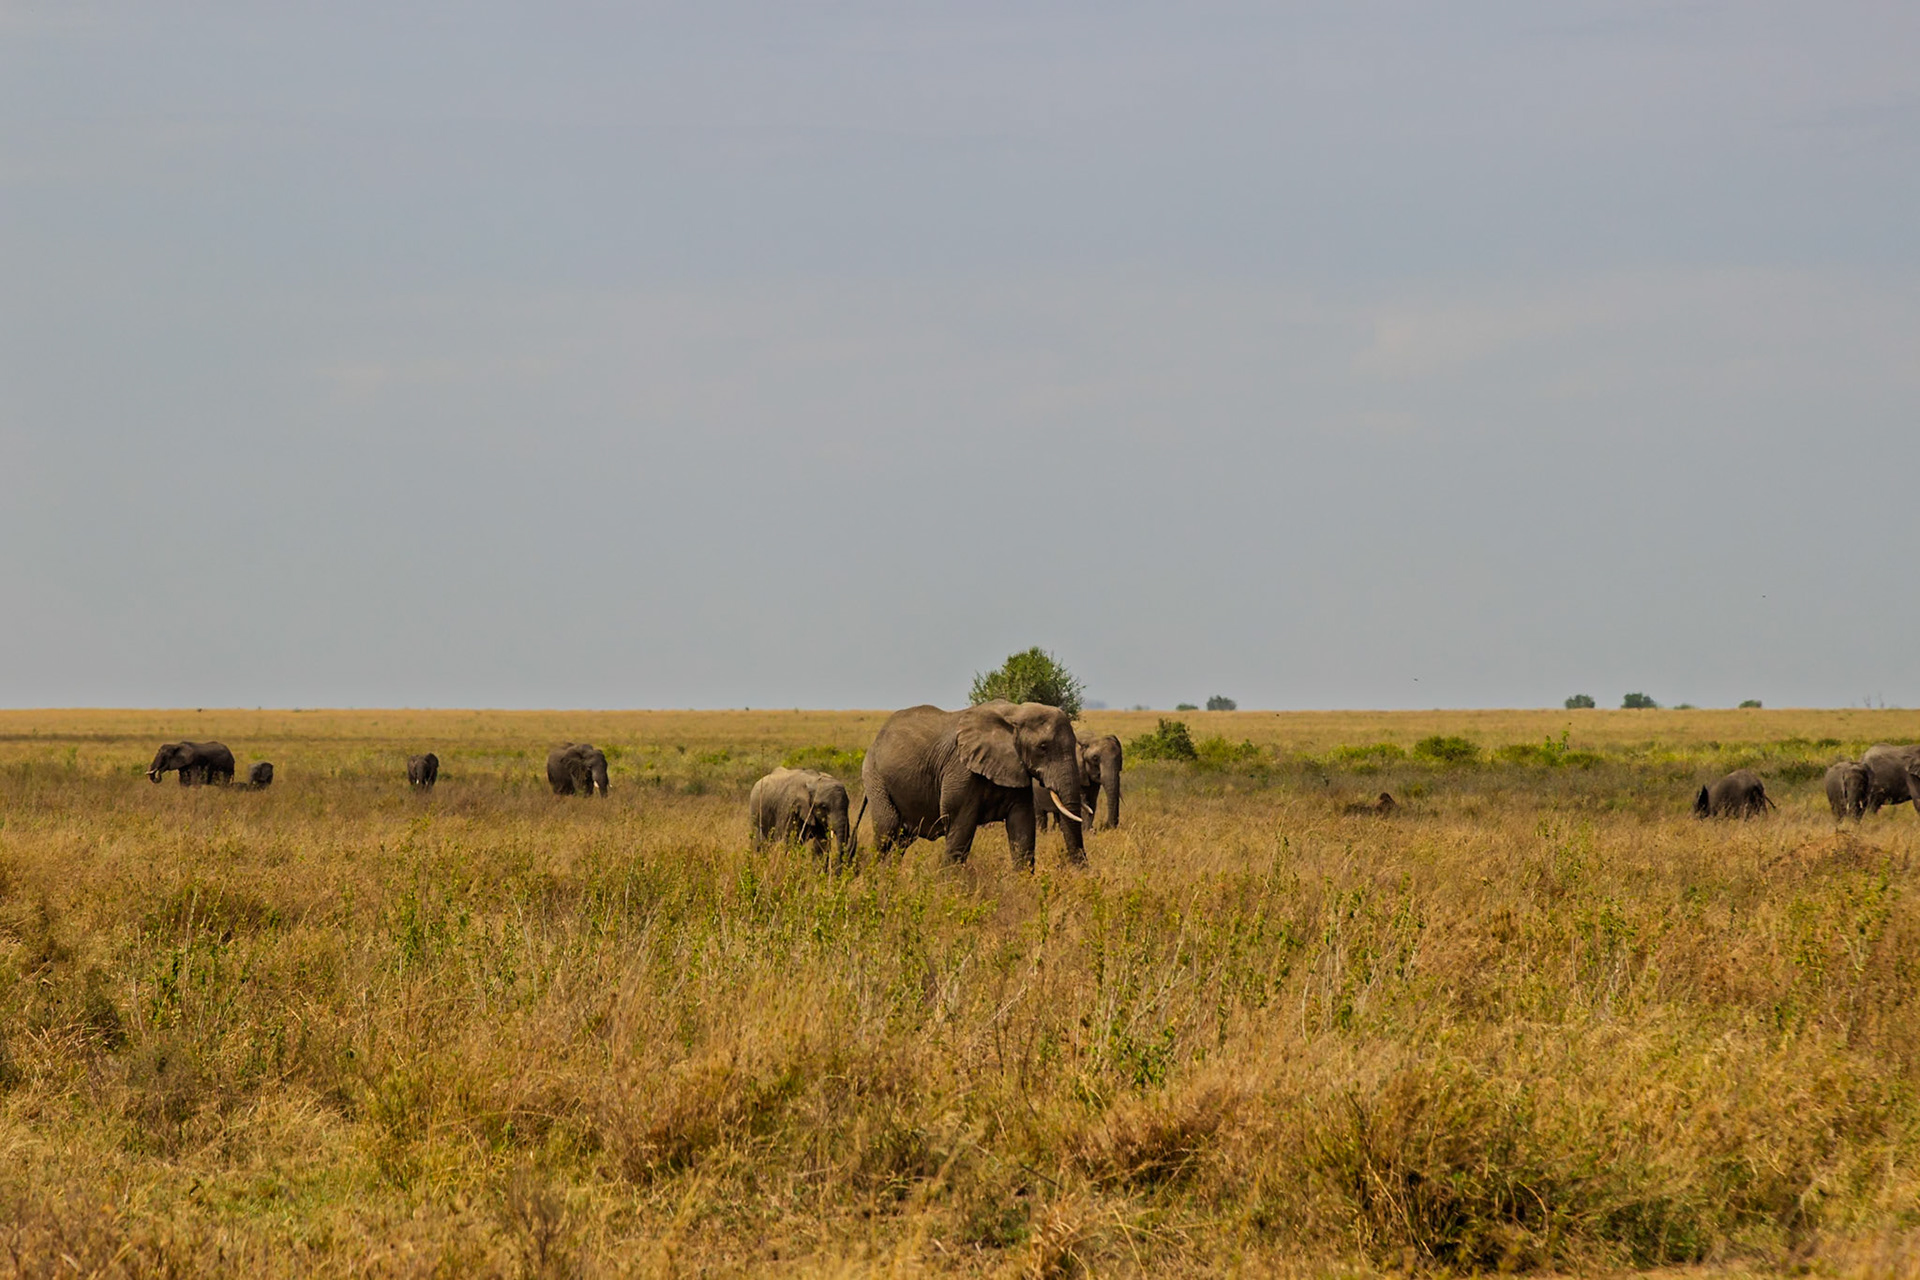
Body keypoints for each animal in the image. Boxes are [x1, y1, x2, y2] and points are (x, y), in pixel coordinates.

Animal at [862, 701, 1086, 869]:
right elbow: (961, 828)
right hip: (874, 777)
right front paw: (950, 888)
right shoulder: (961, 771)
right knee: (886, 831)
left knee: (902, 840)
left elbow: (1022, 827)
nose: (1080, 869)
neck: (1013, 712)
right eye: (1043, 747)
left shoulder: (1016, 770)